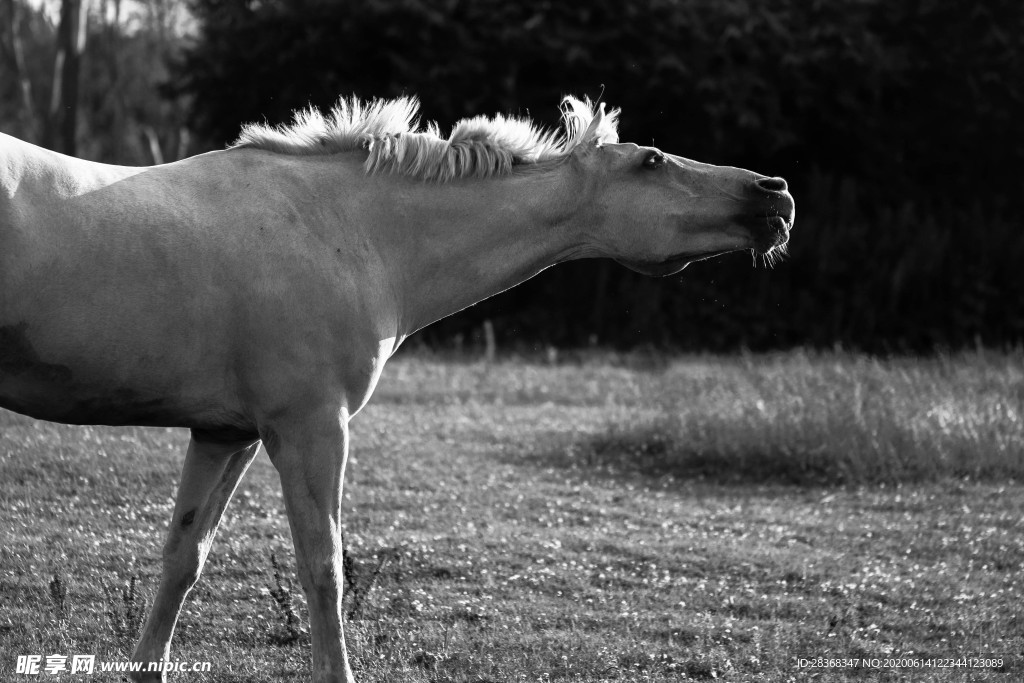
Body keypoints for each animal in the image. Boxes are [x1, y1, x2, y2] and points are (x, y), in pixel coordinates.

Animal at [0, 95, 794, 682]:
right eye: (651, 161)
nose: (776, 192)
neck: (350, 230)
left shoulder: (227, 434)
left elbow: (181, 564)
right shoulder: (312, 428)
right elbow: (323, 570)